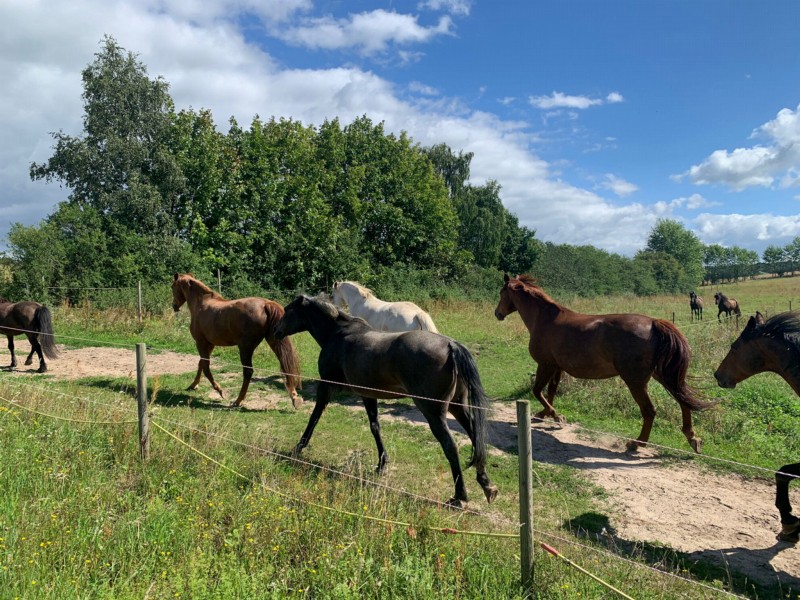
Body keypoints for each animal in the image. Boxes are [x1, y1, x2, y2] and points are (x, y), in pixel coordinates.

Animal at [171, 274, 302, 408]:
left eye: (172, 287)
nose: (174, 306)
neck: (201, 304)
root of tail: (266, 304)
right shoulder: (210, 345)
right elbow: (201, 364)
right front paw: (193, 385)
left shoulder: (200, 343)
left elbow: (206, 367)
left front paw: (220, 390)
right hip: (274, 341)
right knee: (285, 365)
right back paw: (295, 398)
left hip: (245, 348)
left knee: (248, 372)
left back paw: (238, 400)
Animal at [273, 294, 497, 508]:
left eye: (288, 310)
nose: (276, 331)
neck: (338, 335)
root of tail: (451, 345)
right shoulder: (368, 395)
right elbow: (375, 427)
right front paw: (381, 464)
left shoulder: (326, 387)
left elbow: (314, 417)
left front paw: (298, 447)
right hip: (458, 407)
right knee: (476, 436)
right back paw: (486, 484)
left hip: (434, 412)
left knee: (451, 446)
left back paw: (460, 496)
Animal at [494, 274, 716, 453]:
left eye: (501, 292)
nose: (497, 313)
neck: (544, 319)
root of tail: (653, 323)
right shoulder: (557, 367)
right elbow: (550, 392)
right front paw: (547, 415)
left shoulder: (545, 364)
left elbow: (537, 391)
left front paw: (556, 416)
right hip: (661, 374)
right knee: (682, 400)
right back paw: (692, 437)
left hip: (635, 381)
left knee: (650, 411)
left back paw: (637, 443)